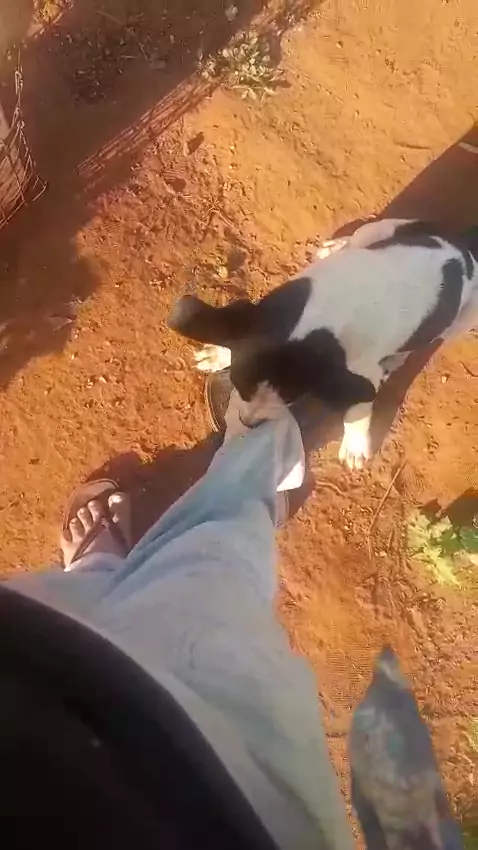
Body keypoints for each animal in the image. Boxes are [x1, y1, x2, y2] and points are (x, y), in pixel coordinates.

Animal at [168, 219, 478, 469]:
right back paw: (336, 246)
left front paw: (355, 444)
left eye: (291, 399)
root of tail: (462, 247)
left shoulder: (362, 372)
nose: (249, 424)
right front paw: (219, 354)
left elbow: (359, 405)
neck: (320, 316)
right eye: (237, 384)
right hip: (381, 228)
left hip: (465, 319)